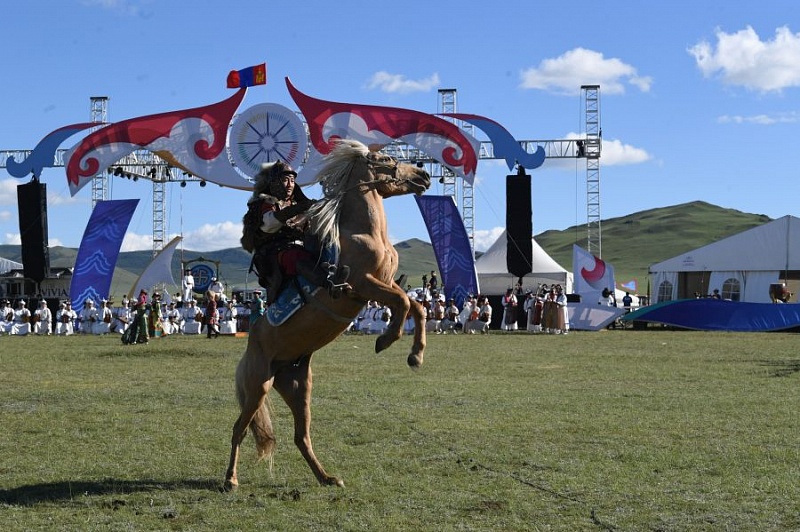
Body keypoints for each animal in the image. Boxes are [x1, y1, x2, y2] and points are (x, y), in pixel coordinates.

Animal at [222, 138, 434, 490]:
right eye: (387, 159)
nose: (424, 175)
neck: (362, 233)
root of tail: (250, 346)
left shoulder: (385, 284)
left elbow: (415, 306)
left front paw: (415, 356)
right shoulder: (365, 284)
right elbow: (404, 304)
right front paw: (386, 340)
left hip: (298, 385)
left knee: (301, 436)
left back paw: (326, 477)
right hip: (258, 386)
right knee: (239, 428)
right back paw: (230, 480)